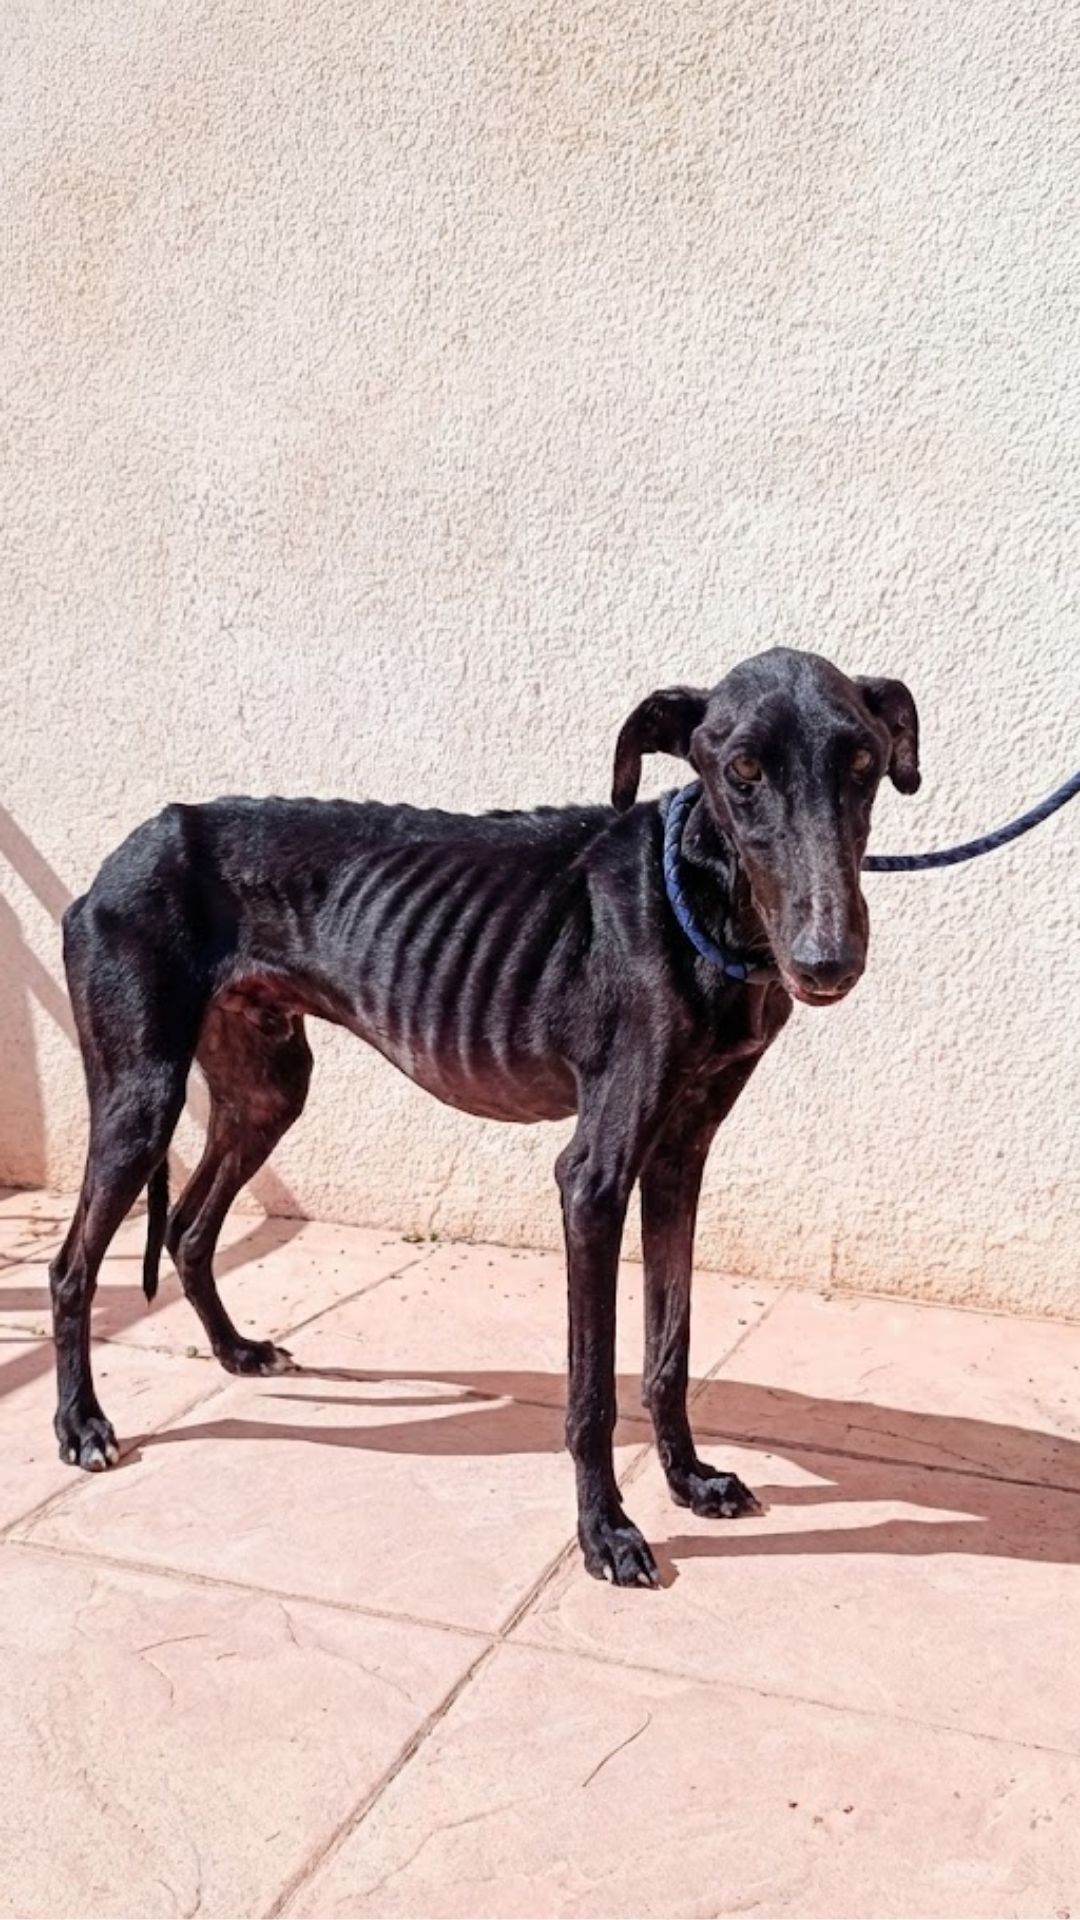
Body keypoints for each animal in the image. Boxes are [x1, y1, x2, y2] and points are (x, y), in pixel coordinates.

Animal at [49, 646, 919, 1586]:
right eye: (744, 770)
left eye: (864, 762)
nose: (827, 963)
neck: (698, 899)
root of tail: (126, 852)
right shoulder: (594, 1179)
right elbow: (591, 1390)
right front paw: (607, 1533)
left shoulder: (679, 1159)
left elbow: (670, 1350)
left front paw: (689, 1480)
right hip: (141, 1099)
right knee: (71, 1269)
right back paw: (80, 1425)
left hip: (267, 1090)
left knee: (189, 1228)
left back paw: (237, 1352)